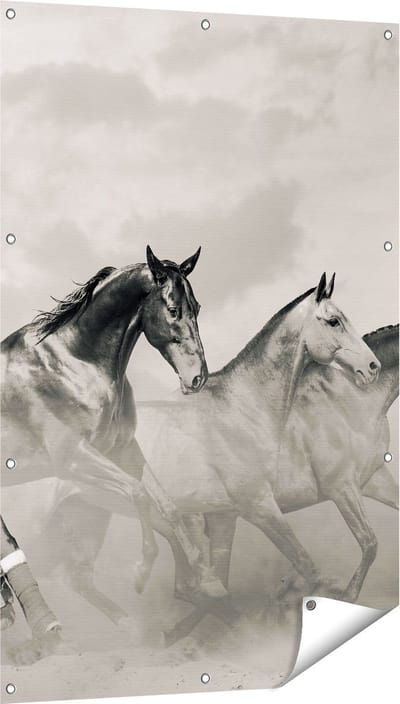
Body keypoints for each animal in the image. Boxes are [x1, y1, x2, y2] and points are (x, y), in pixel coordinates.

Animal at [1, 244, 225, 662]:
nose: (197, 378)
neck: (75, 362)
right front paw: (141, 570)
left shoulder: (122, 449)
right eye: (173, 309)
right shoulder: (74, 458)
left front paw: (206, 579)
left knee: (74, 572)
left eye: (198, 307)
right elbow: (139, 494)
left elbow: (168, 507)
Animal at [5, 273, 382, 640]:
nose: (372, 366)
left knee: (80, 577)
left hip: (89, 516)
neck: (243, 405)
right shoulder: (258, 506)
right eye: (333, 321)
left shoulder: (226, 515)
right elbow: (306, 564)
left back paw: (137, 627)